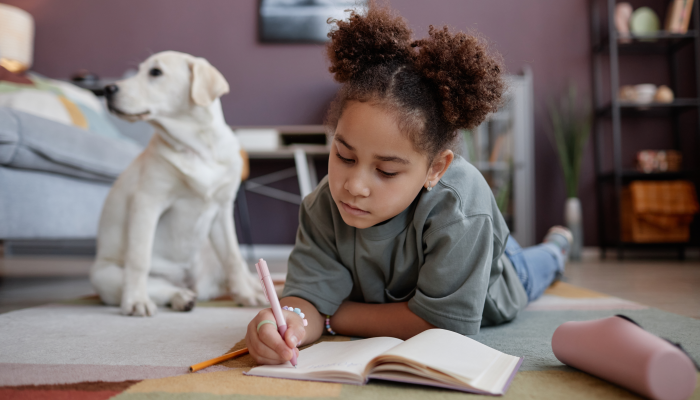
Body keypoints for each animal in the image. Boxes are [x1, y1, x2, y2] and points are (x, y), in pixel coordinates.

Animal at [91, 51, 266, 318]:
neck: (198, 149)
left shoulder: (223, 209)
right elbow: (139, 259)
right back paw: (180, 297)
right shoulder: (147, 203)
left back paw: (253, 287)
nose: (107, 89)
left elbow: (233, 257)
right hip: (104, 277)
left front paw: (247, 295)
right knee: (159, 286)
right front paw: (135, 300)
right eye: (139, 71)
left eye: (155, 72)